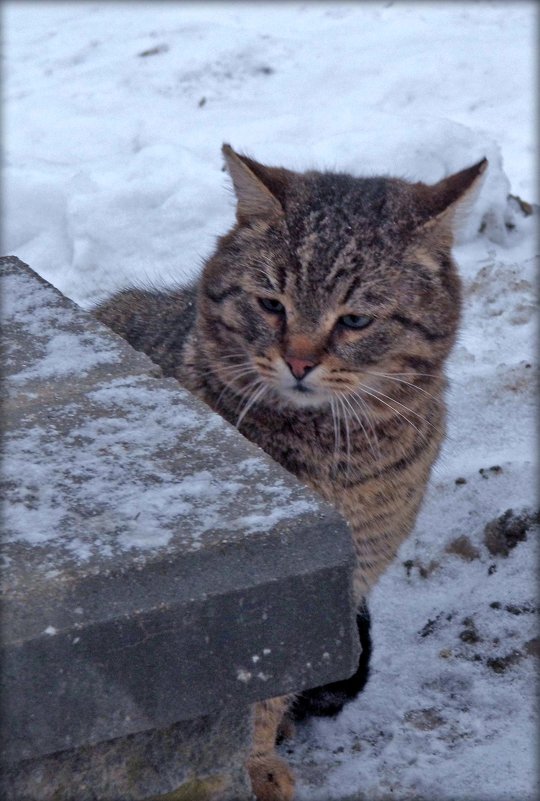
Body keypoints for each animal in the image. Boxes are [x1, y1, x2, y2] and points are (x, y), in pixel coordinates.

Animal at [95, 145, 488, 800]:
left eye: (354, 321)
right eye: (271, 304)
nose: (299, 361)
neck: (326, 459)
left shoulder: (341, 577)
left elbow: (271, 692)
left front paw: (259, 756)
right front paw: (253, 766)